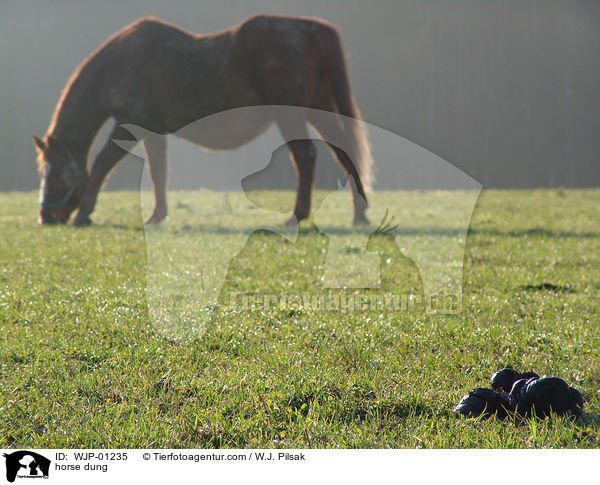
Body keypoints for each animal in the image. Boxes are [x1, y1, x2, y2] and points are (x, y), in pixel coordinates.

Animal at [32, 14, 372, 225]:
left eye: (55, 173)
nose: (46, 217)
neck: (122, 63)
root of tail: (312, 29)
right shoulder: (153, 131)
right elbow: (158, 171)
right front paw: (157, 215)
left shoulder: (129, 126)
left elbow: (103, 164)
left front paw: (84, 213)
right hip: (319, 109)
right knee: (343, 153)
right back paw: (359, 213)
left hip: (290, 116)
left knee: (305, 156)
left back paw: (297, 215)